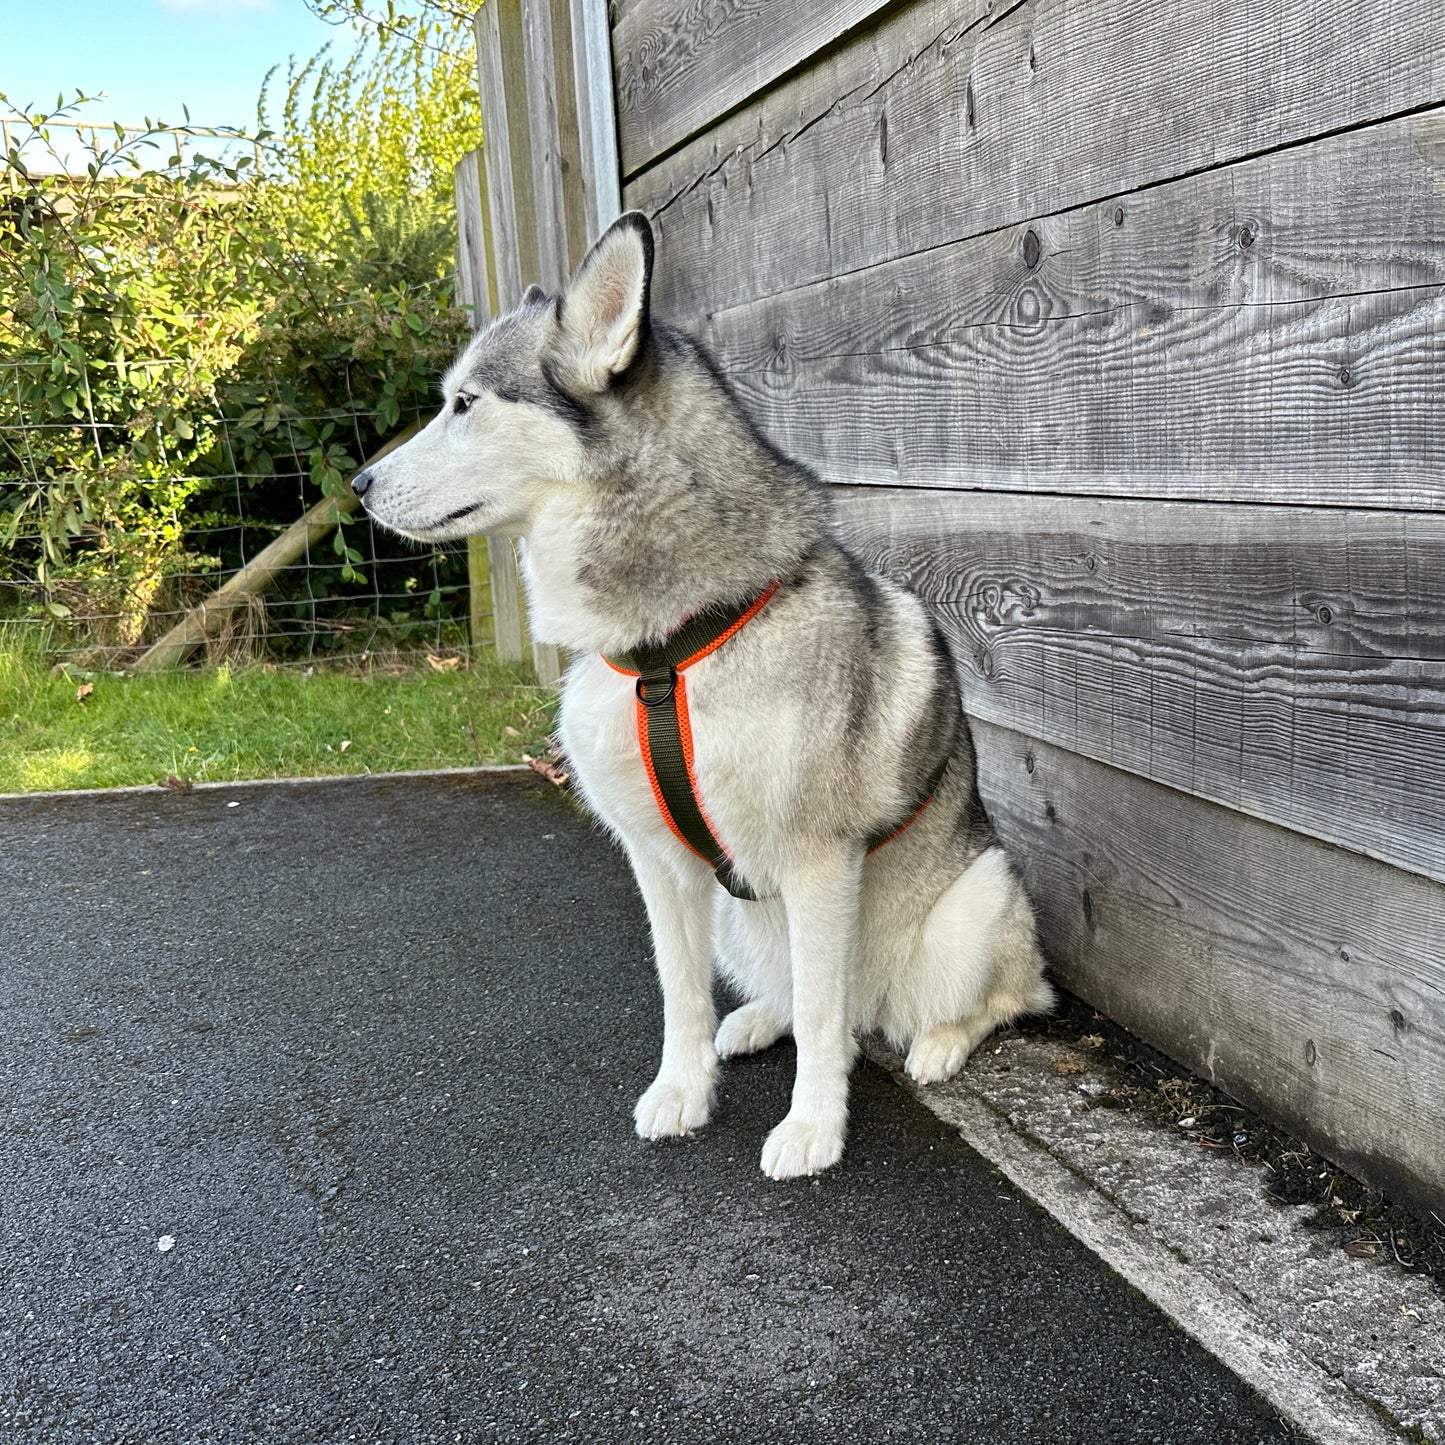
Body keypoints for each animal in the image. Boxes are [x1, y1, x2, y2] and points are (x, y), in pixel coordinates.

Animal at [349, 216, 1051, 1184]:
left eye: (465, 404)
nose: (358, 486)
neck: (667, 654)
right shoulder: (659, 859)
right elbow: (679, 992)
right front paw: (683, 1091)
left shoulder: (819, 861)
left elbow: (824, 1020)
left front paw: (812, 1128)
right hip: (738, 915)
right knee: (807, 1001)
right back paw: (756, 1020)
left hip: (973, 905)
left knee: (973, 1001)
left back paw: (938, 1042)